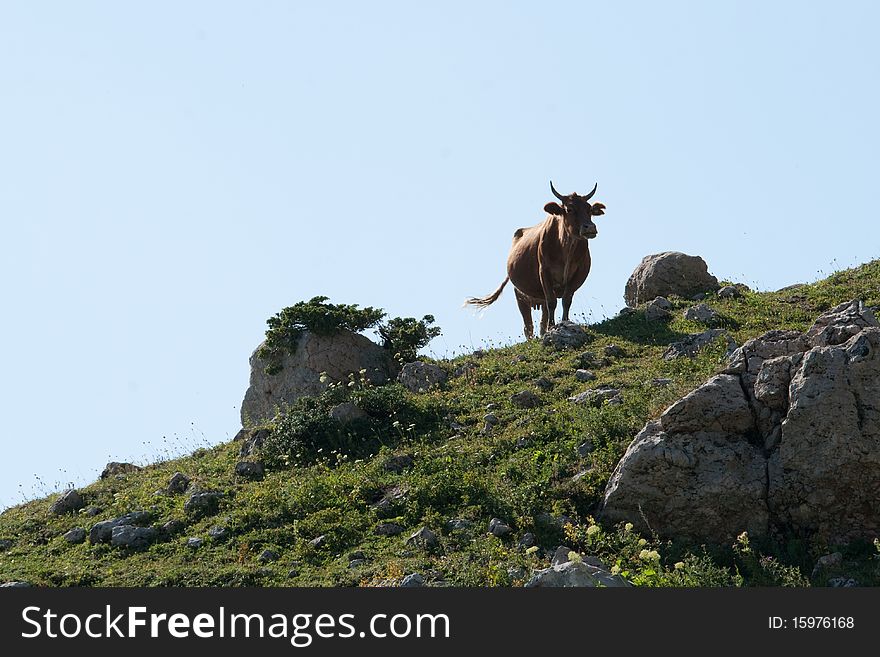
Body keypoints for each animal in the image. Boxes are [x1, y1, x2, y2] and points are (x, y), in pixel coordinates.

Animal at [468, 183, 604, 340]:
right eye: (569, 209)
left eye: (590, 209)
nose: (590, 227)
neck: (566, 247)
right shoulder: (544, 272)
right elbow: (552, 302)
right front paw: (553, 327)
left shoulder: (578, 274)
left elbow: (566, 301)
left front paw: (565, 323)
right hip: (520, 297)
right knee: (528, 326)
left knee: (542, 321)